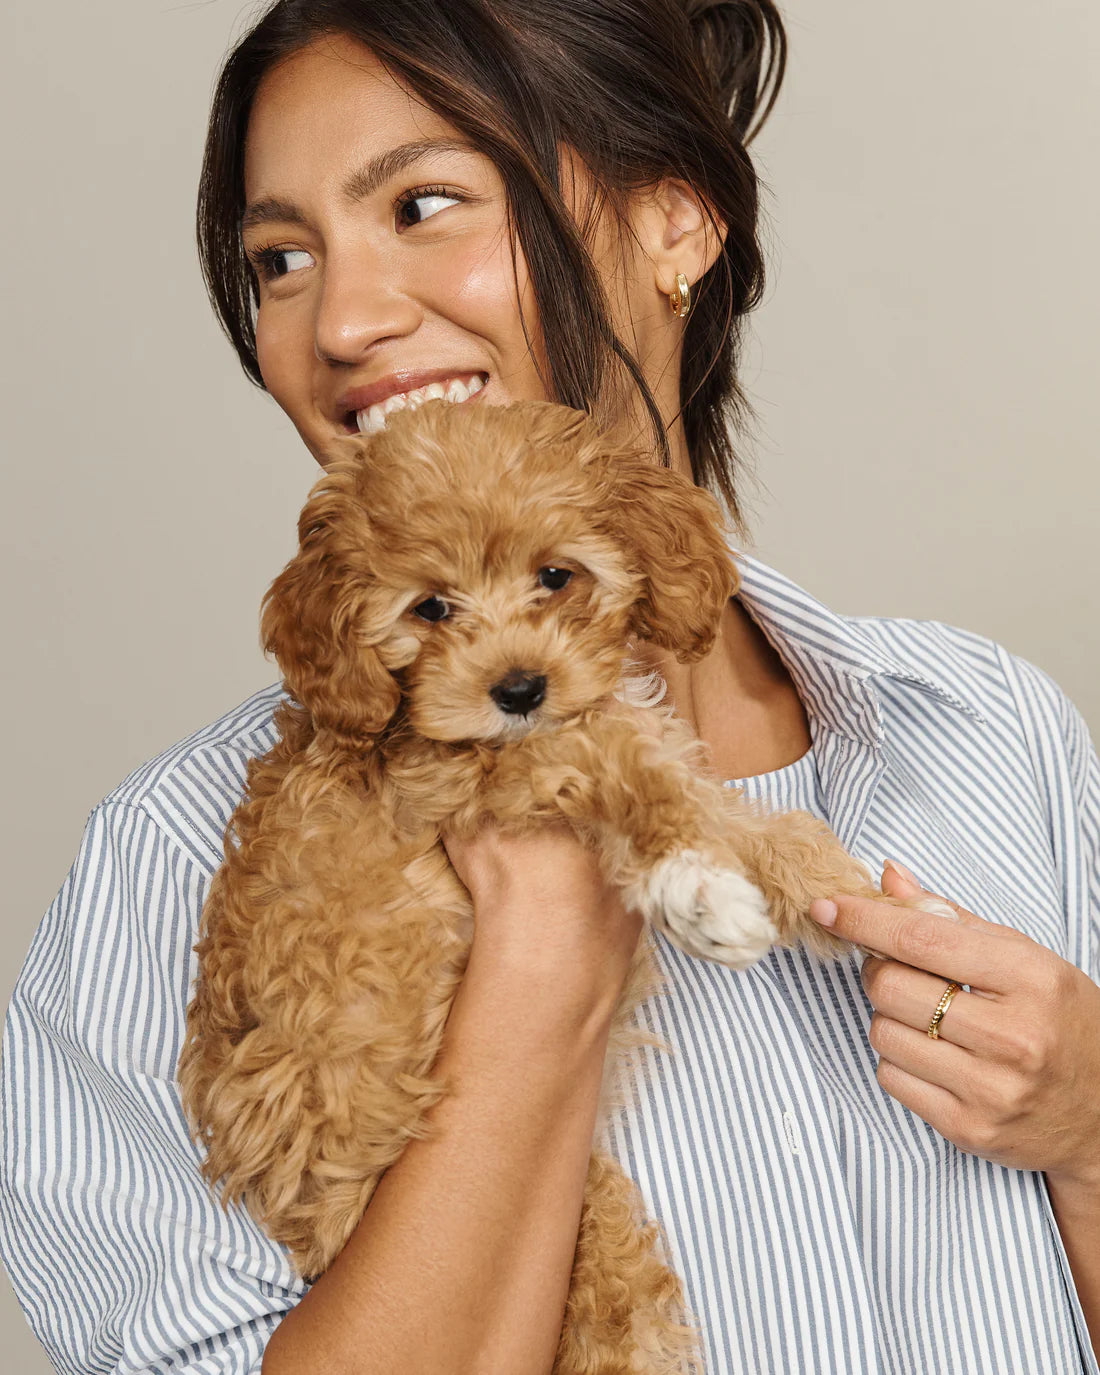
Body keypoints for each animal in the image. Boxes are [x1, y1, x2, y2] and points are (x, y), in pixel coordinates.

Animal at [179, 399, 940, 1372]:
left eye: (556, 576)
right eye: (431, 607)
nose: (519, 688)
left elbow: (718, 803)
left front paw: (847, 899)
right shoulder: (479, 775)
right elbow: (629, 769)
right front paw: (696, 886)